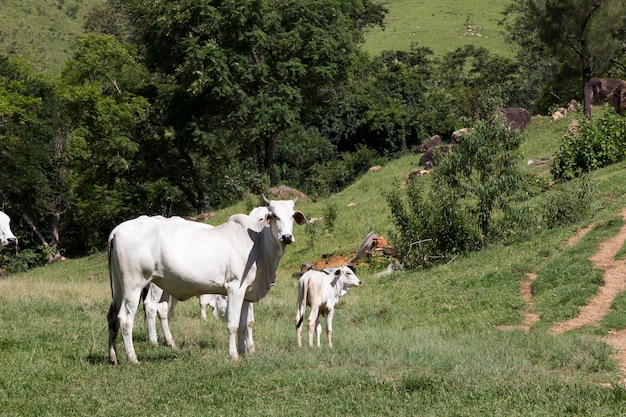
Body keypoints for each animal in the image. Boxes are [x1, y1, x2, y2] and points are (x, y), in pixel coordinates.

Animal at [108, 197, 306, 362]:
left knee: (114, 316)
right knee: (128, 318)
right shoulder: (235, 288)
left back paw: (114, 357)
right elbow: (233, 324)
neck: (257, 244)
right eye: (273, 216)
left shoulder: (247, 293)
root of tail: (117, 230)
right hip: (134, 286)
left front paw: (244, 352)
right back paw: (134, 357)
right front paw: (234, 355)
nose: (286, 237)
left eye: (291, 215)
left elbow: (245, 324)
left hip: (121, 286)